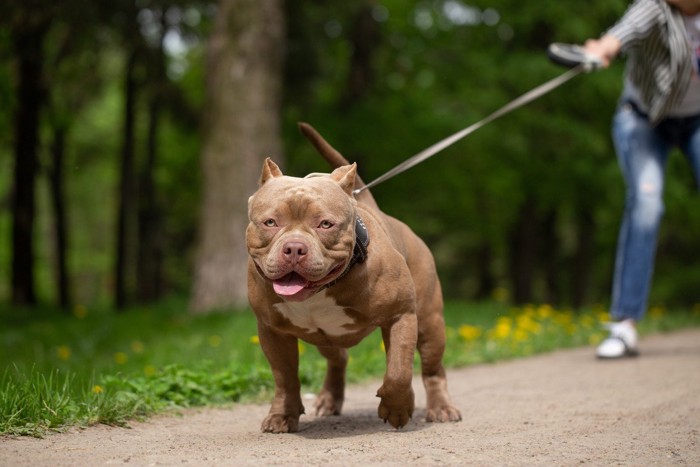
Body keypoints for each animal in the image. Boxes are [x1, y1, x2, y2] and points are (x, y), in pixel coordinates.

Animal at [243, 124, 462, 436]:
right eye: (270, 222)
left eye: (325, 224)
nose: (294, 248)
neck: (324, 289)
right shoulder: (273, 331)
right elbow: (284, 378)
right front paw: (282, 415)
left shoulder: (401, 315)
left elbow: (398, 371)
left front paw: (396, 408)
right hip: (324, 337)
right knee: (338, 359)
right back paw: (328, 399)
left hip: (430, 322)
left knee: (433, 369)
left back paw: (441, 407)